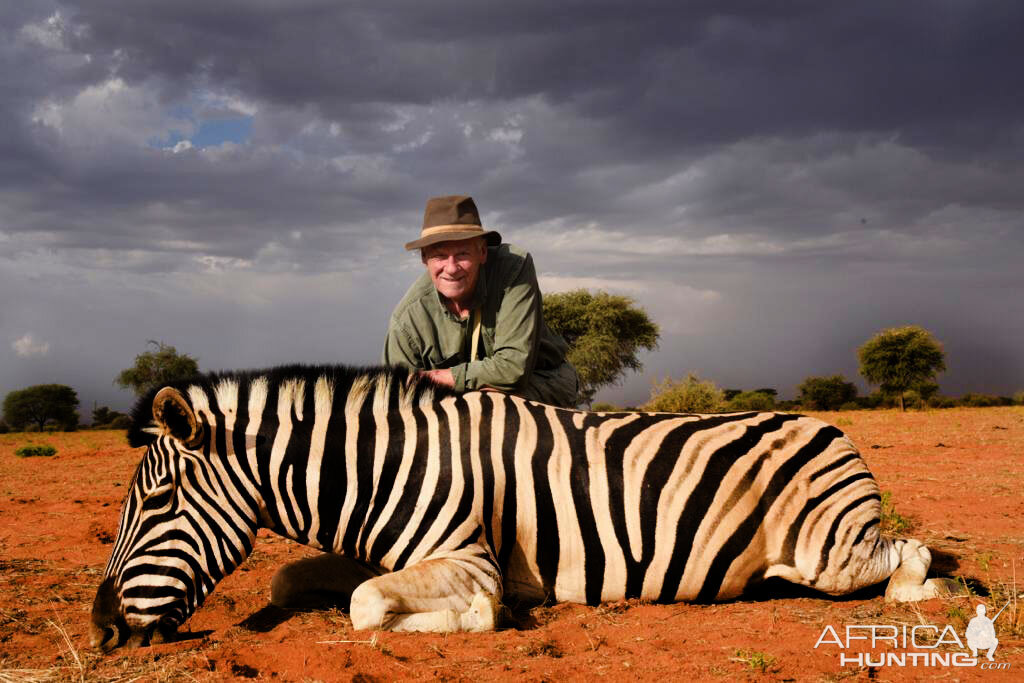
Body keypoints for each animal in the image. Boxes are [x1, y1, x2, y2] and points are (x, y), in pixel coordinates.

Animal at [92, 366, 954, 651]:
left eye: (158, 500)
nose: (101, 626)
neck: (385, 467)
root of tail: (830, 424)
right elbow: (292, 580)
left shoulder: (469, 555)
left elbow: (369, 604)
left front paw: (479, 617)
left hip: (828, 551)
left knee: (910, 555)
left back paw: (928, 595)